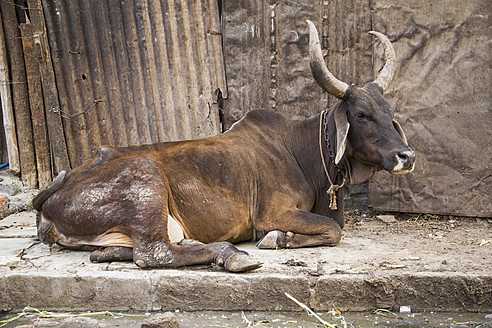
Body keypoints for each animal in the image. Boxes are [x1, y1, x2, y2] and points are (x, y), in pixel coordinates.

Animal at [32, 21, 416, 272]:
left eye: (389, 112)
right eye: (362, 114)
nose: (406, 156)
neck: (303, 152)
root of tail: (51, 200)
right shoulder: (272, 213)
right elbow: (333, 230)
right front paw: (279, 239)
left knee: (111, 253)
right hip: (145, 181)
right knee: (154, 253)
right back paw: (230, 254)